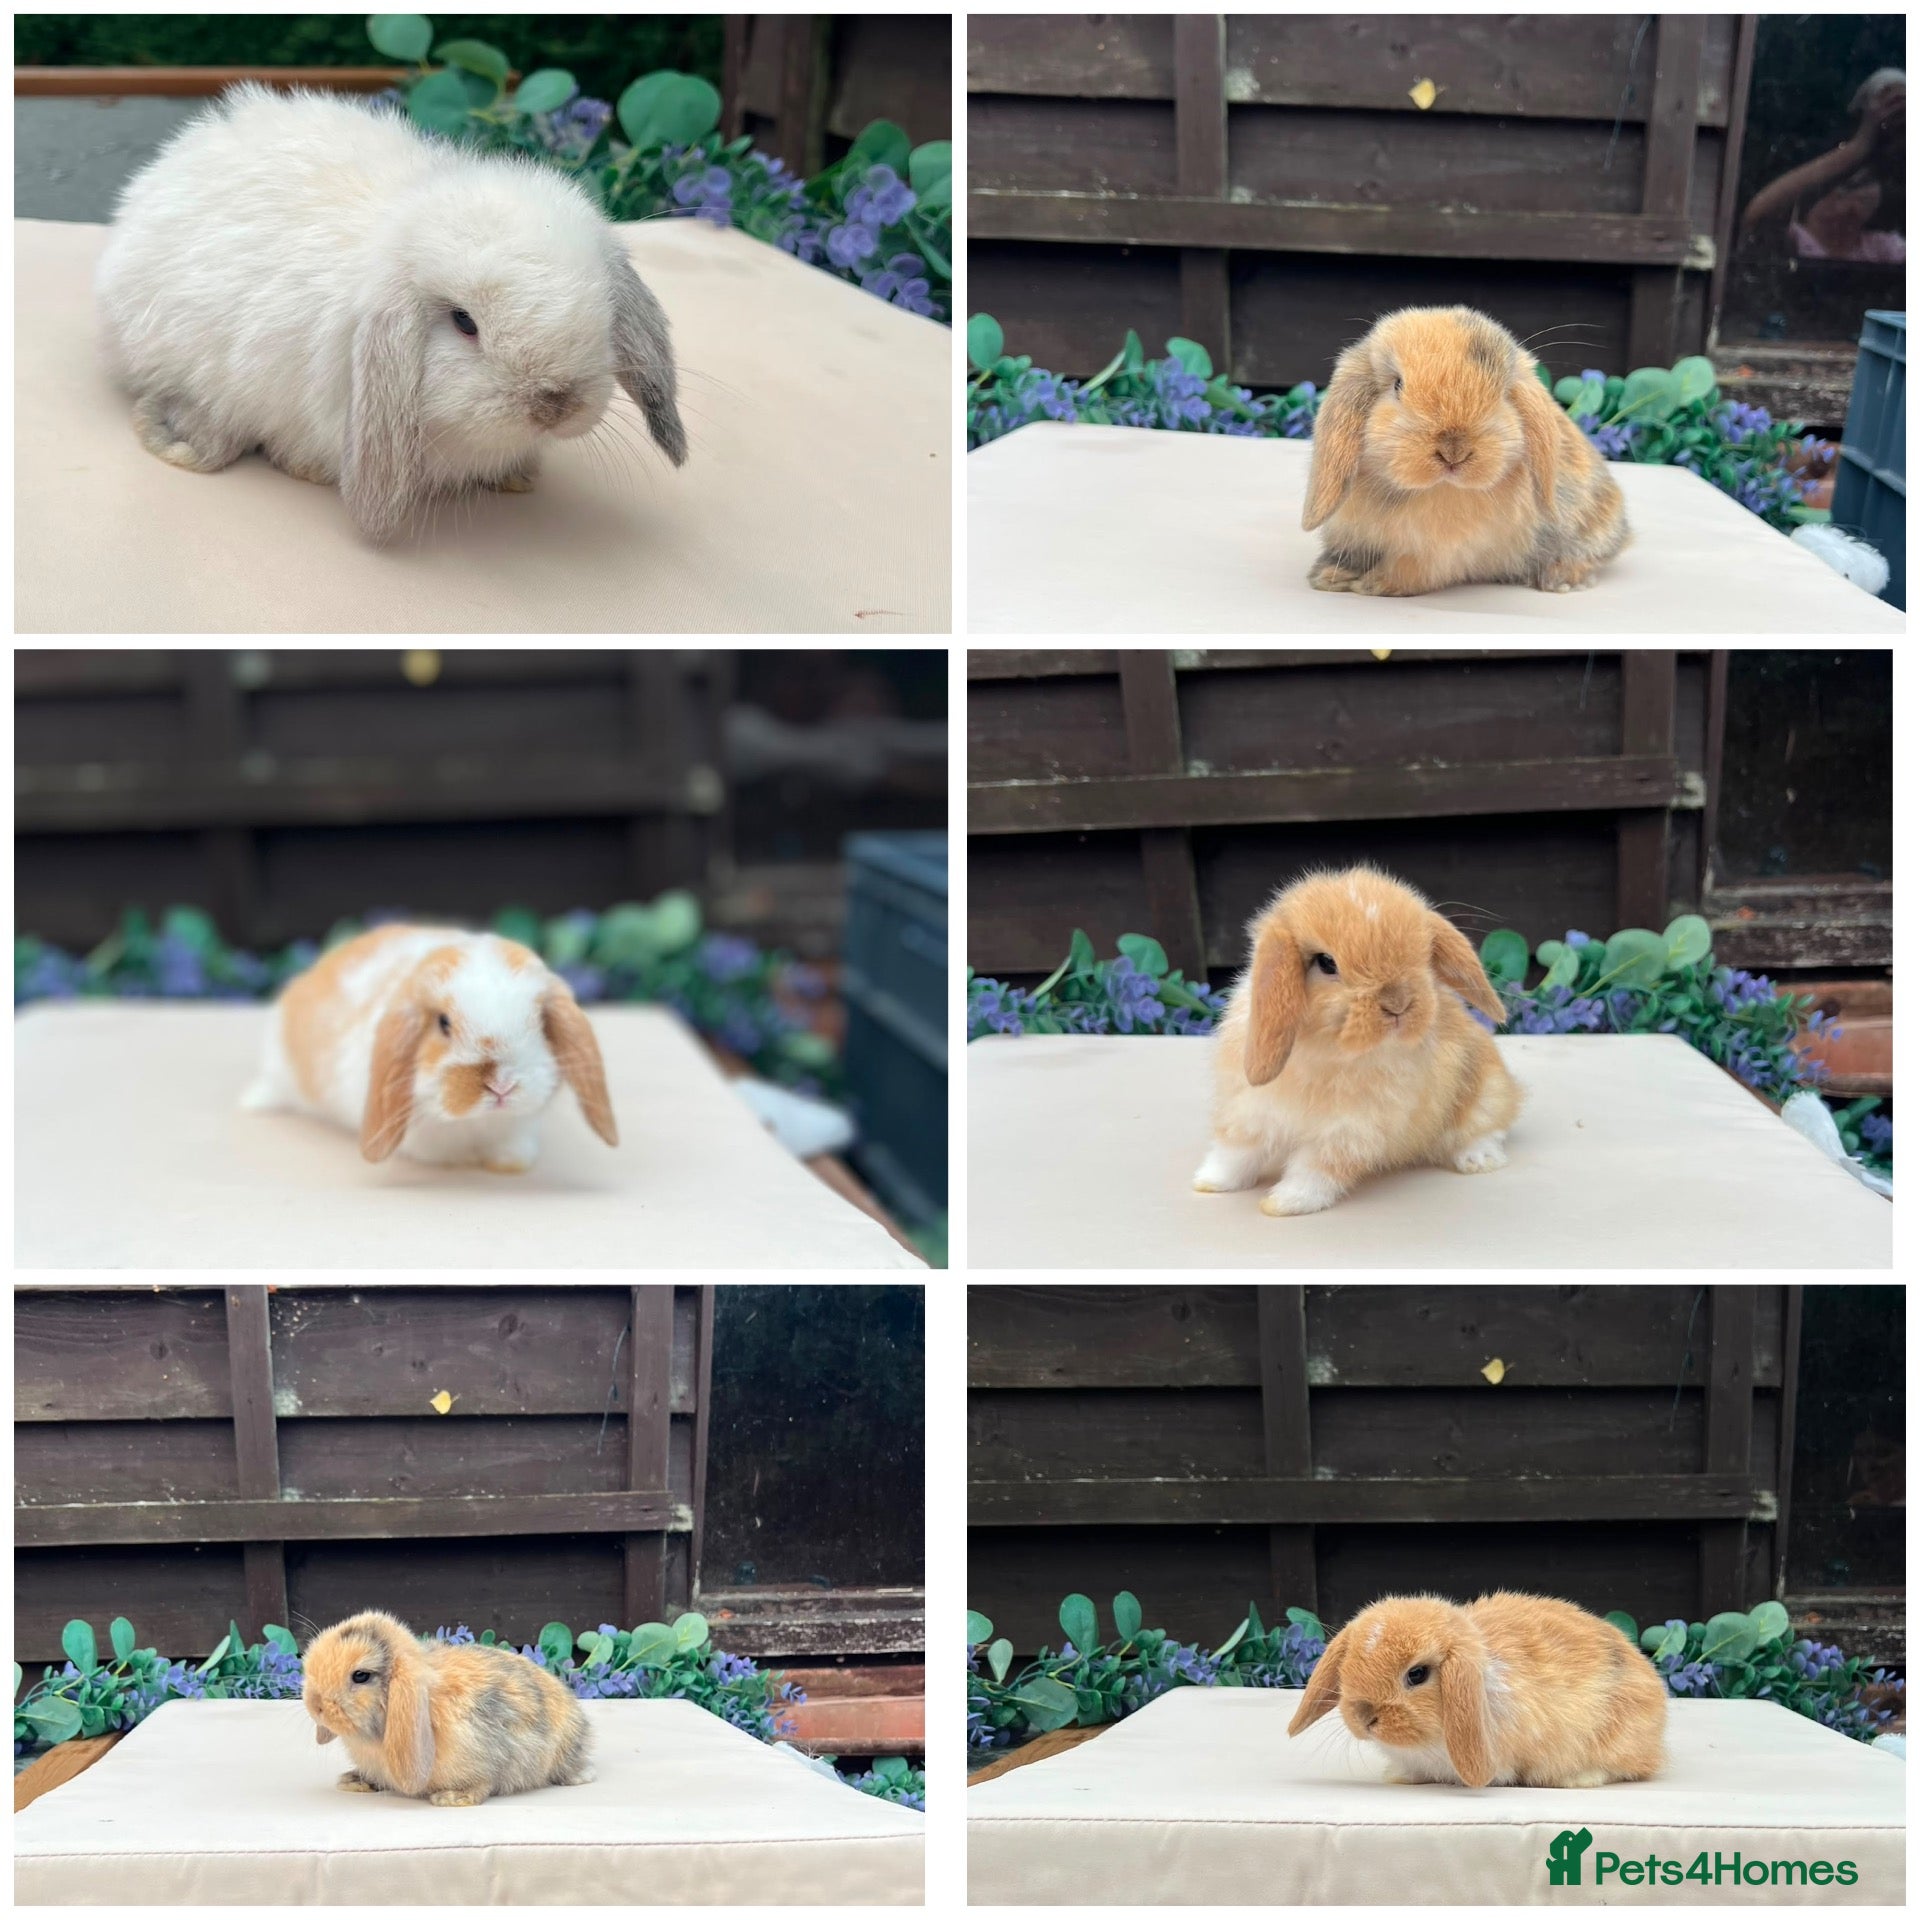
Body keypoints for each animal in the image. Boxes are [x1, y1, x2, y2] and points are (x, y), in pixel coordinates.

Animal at [1192, 865, 1521, 1215]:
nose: (1398, 1003)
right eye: (1326, 962)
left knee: (1487, 1129)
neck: (1326, 1049)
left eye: (1424, 954)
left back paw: (1479, 1159)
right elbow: (1234, 1155)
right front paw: (1209, 1182)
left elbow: (1313, 1172)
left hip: (1486, 1096)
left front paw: (1284, 1203)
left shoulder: (1344, 1134)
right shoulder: (1247, 1114)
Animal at [1302, 305, 1628, 596]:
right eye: (1397, 385)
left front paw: (1375, 585)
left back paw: (1559, 578)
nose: (1454, 450)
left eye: (1503, 394)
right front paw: (1329, 577)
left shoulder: (1443, 555)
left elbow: (1412, 569)